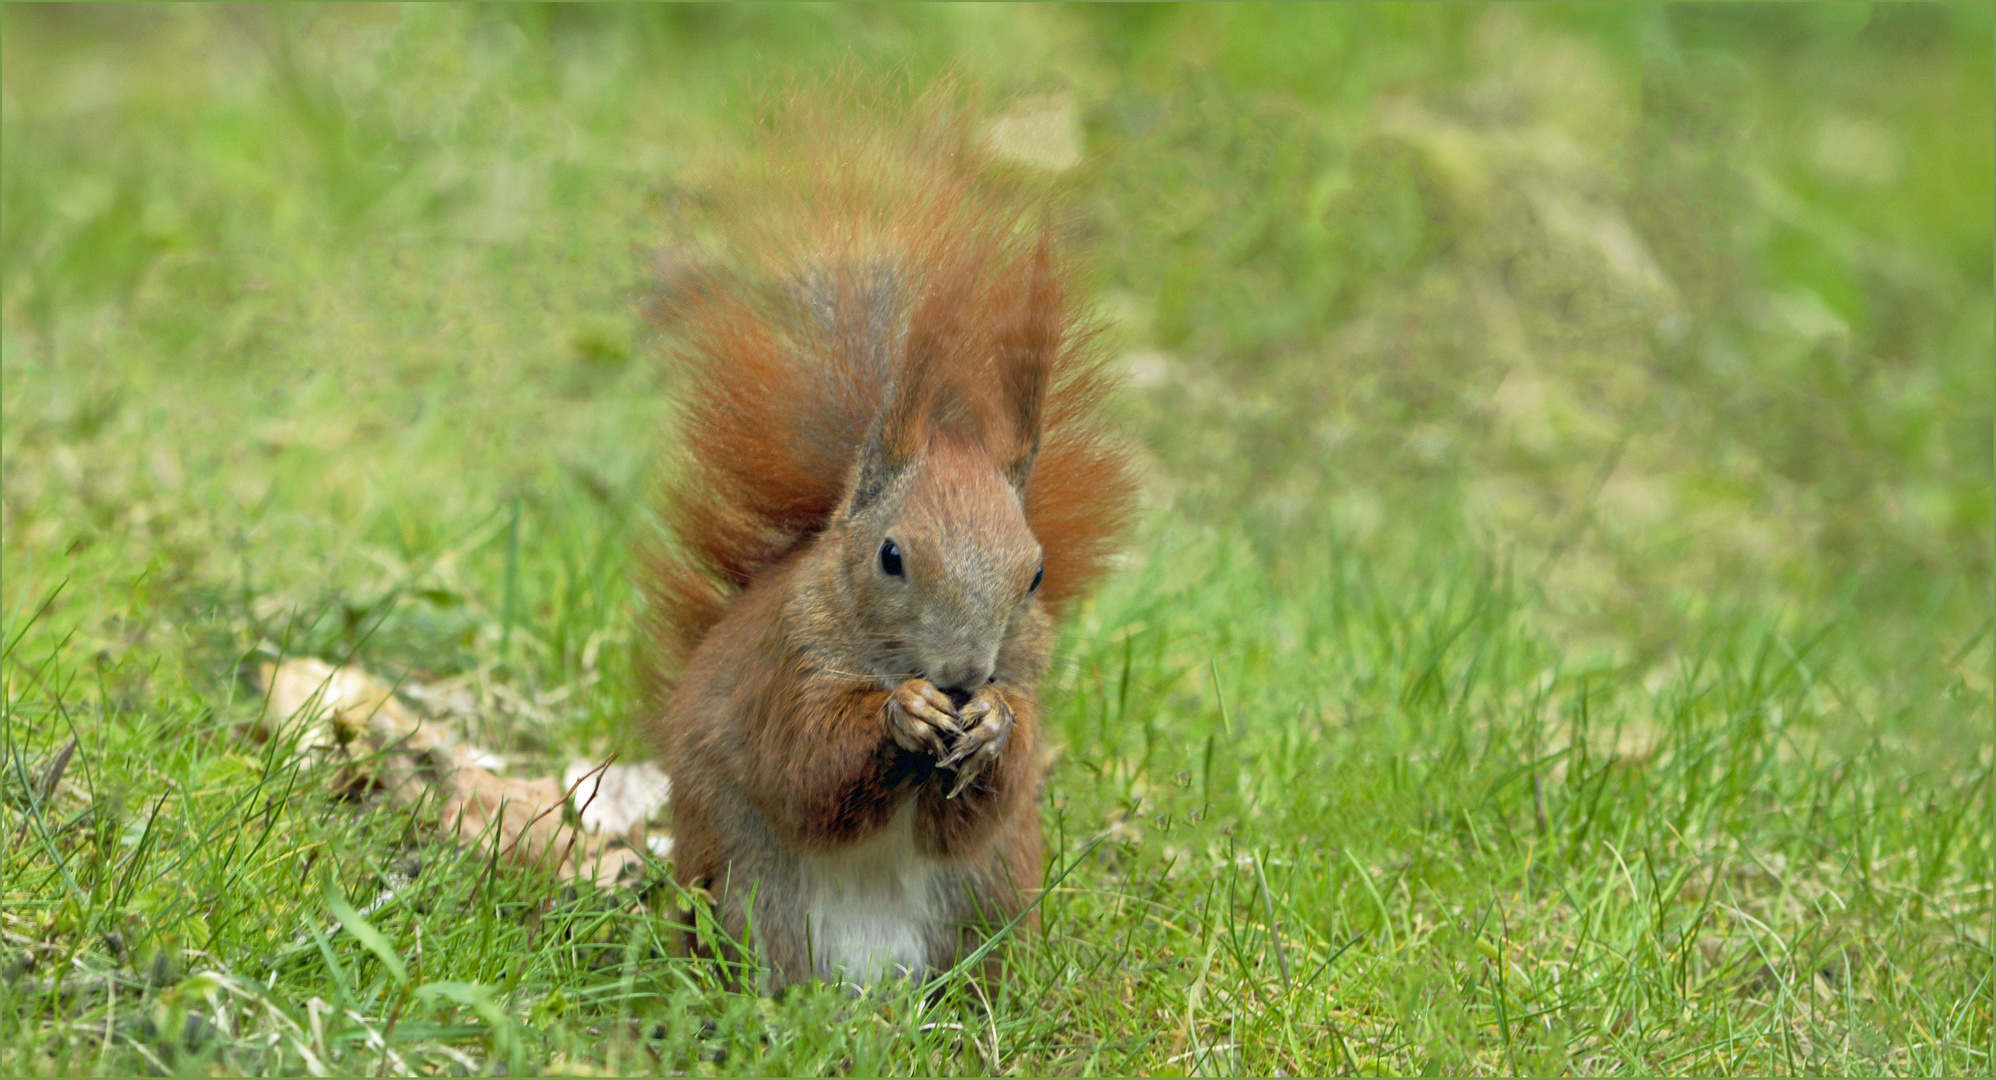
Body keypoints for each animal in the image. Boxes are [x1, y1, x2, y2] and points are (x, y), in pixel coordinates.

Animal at [638, 88, 1141, 990]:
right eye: (892, 557)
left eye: (1036, 574)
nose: (964, 676)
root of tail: (870, 992)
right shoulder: (786, 666)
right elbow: (804, 769)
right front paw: (901, 713)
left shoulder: (1028, 692)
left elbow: (988, 795)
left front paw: (991, 725)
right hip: (748, 894)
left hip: (986, 897)